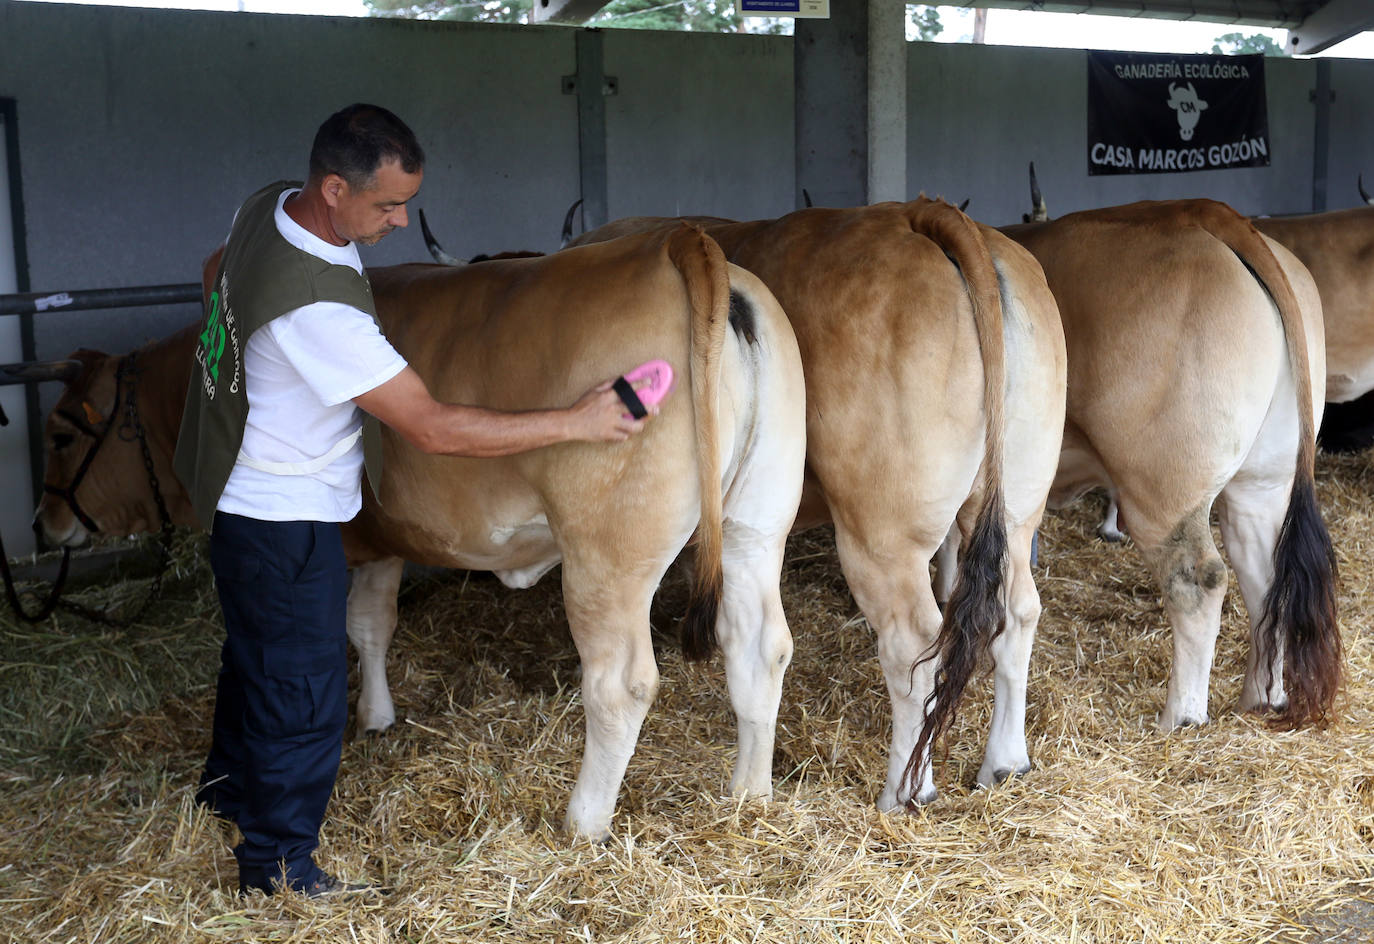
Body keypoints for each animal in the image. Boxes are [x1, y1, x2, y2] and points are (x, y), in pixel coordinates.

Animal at [32, 226, 807, 840]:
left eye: (62, 431)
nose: (43, 525)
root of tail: (675, 242)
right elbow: (375, 622)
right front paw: (380, 717)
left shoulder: (358, 535)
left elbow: (361, 624)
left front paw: (371, 717)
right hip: (756, 521)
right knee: (759, 646)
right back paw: (749, 794)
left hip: (607, 553)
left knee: (621, 685)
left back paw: (583, 822)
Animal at [560, 197, 1071, 802]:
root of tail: (923, 213)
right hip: (1017, 507)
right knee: (1017, 611)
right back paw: (1005, 763)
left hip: (881, 534)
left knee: (913, 643)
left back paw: (906, 793)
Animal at [1000, 197, 1341, 731]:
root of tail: (1204, 211)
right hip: (1263, 480)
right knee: (1264, 576)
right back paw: (1261, 698)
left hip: (1161, 490)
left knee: (1198, 581)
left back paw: (1180, 718)